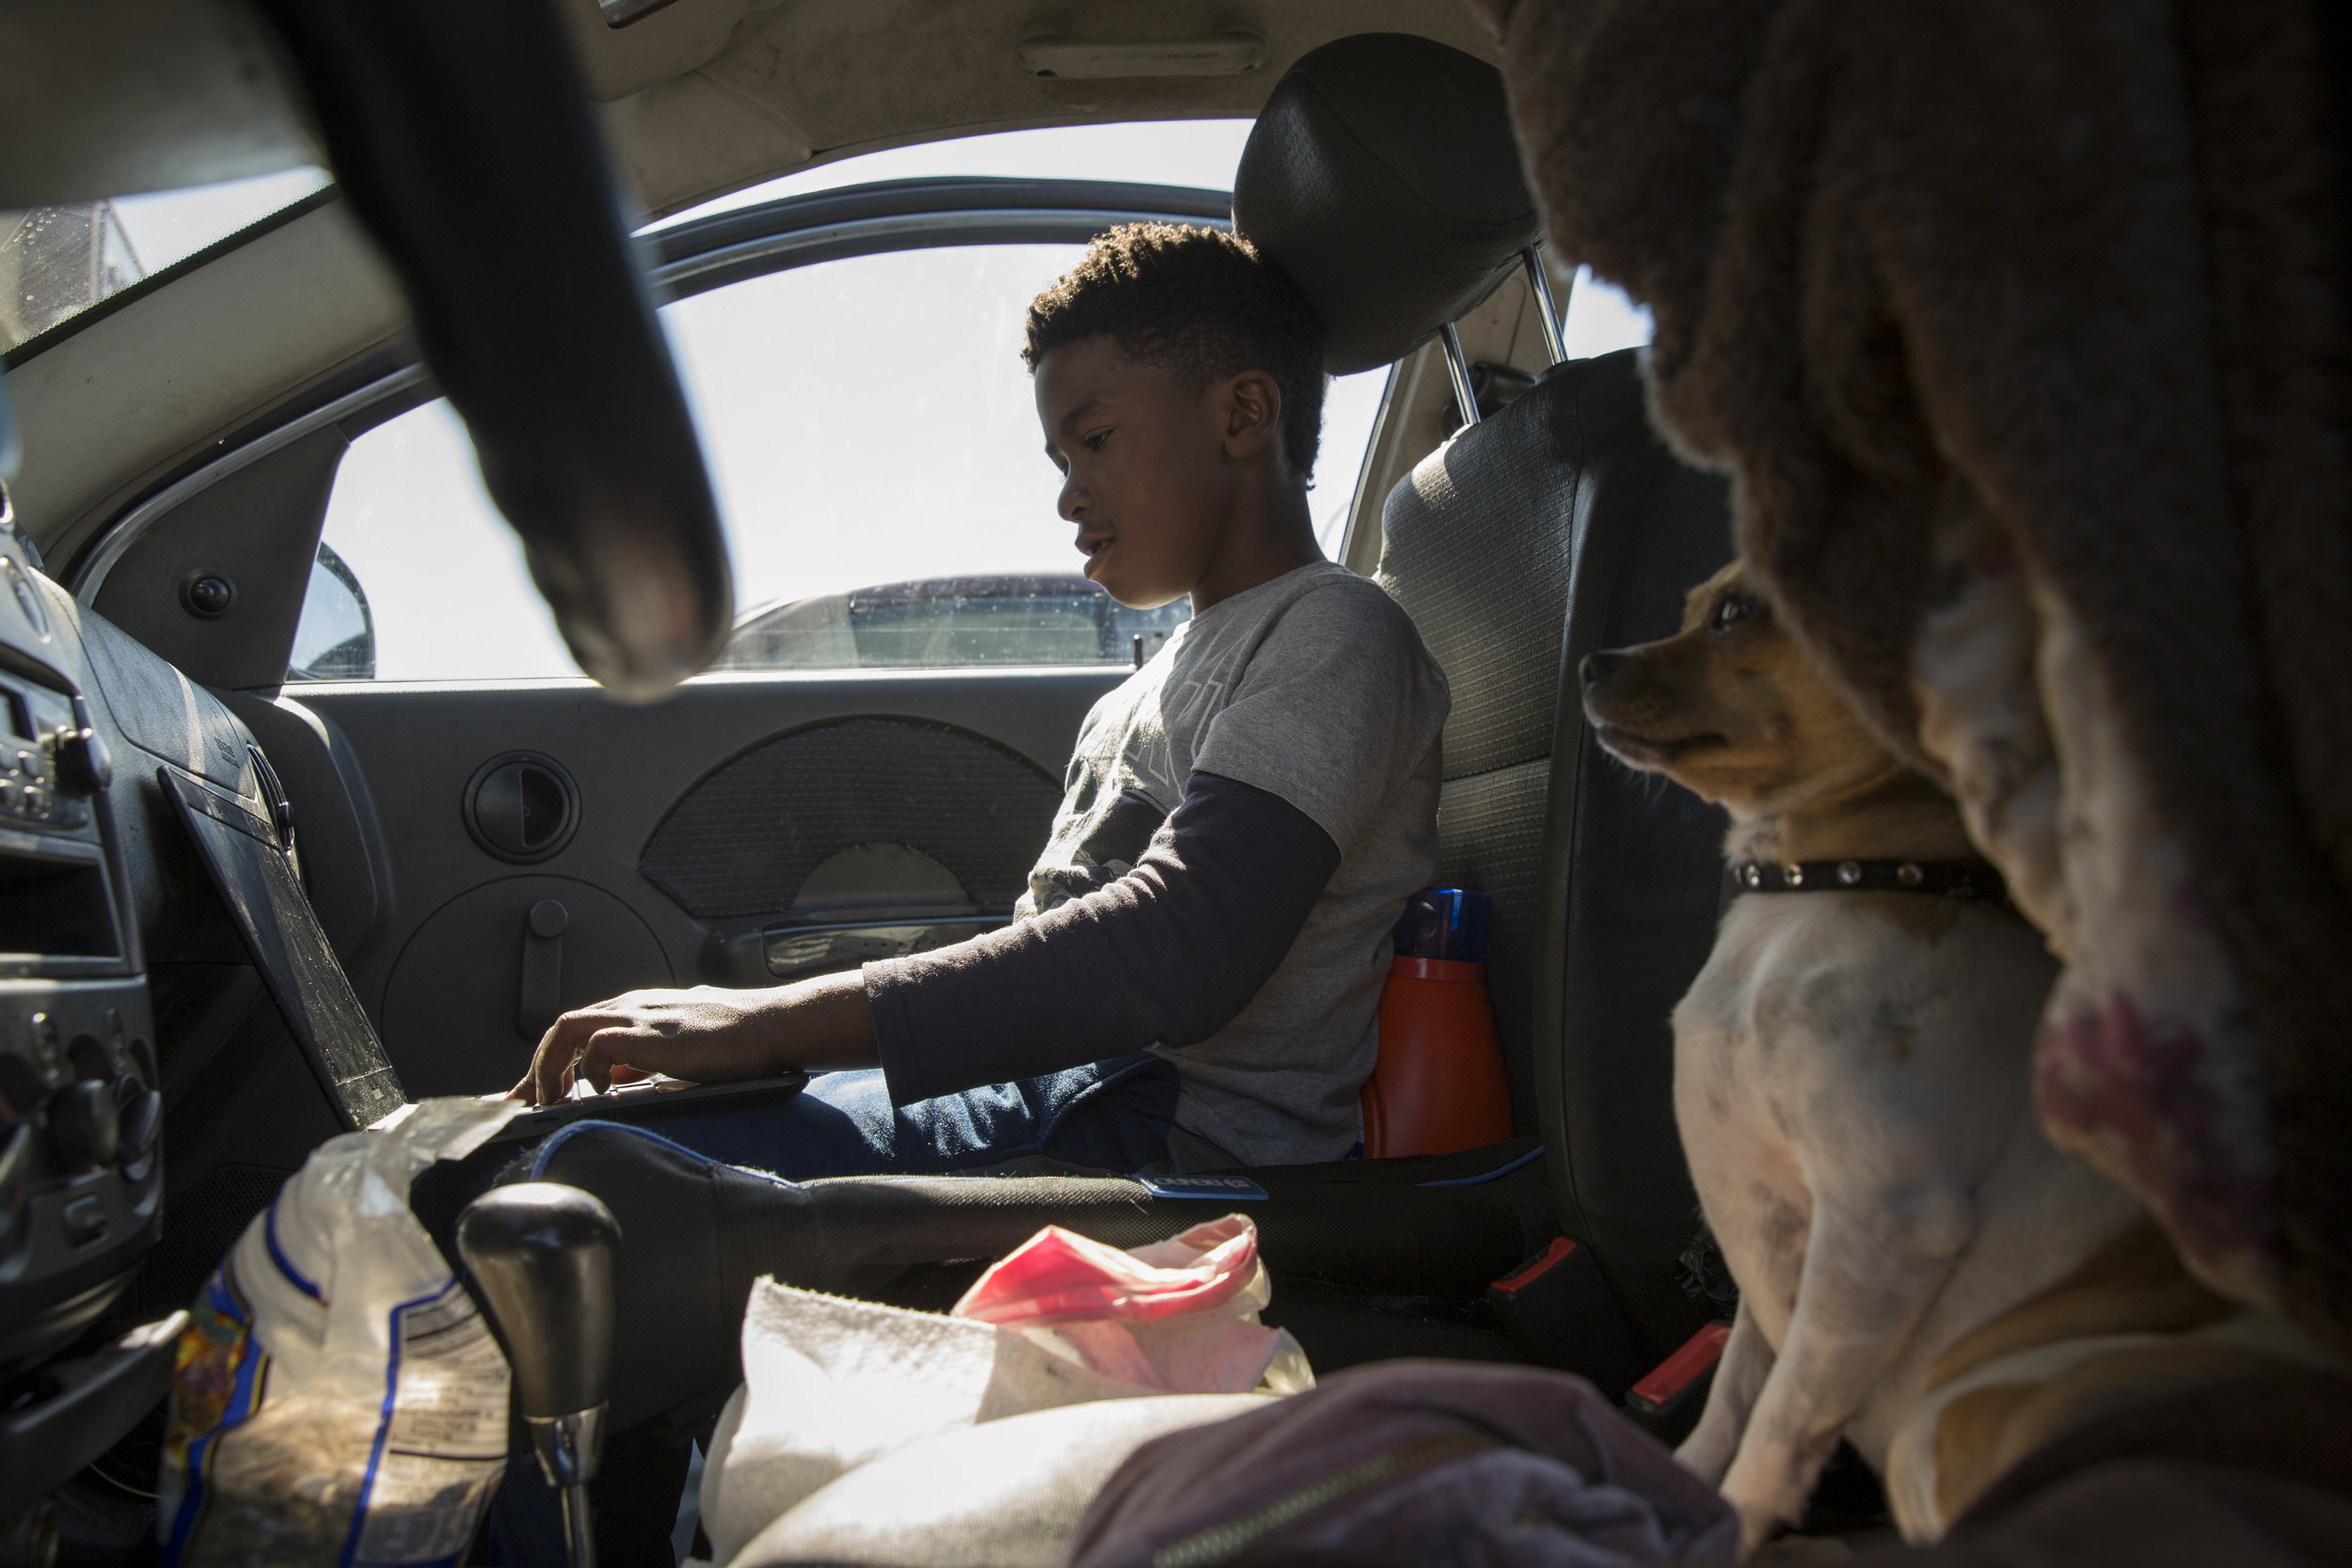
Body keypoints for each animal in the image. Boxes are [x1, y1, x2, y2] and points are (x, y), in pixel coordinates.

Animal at [1581, 563, 2154, 1542]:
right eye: (1692, 606)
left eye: (1736, 613)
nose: (1585, 662)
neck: (1821, 883)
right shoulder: (1766, 1232)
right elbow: (1735, 1393)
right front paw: (1681, 1486)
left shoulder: (1883, 1222)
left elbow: (1778, 1423)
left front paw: (1735, 1524)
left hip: (1948, 1418)